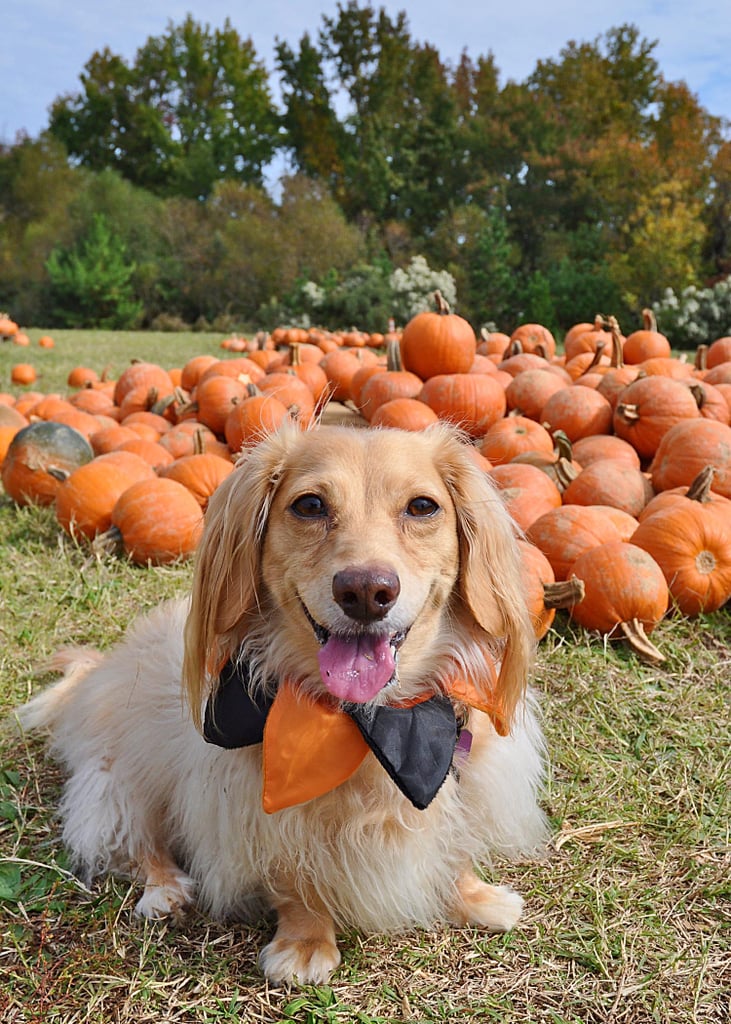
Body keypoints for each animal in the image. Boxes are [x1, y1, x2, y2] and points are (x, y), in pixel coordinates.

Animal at [15, 421, 548, 983]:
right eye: (309, 505)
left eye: (423, 507)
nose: (365, 591)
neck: (370, 723)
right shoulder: (257, 809)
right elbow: (295, 881)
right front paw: (305, 946)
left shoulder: (461, 779)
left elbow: (454, 849)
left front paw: (475, 898)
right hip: (123, 781)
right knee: (134, 844)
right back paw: (165, 892)